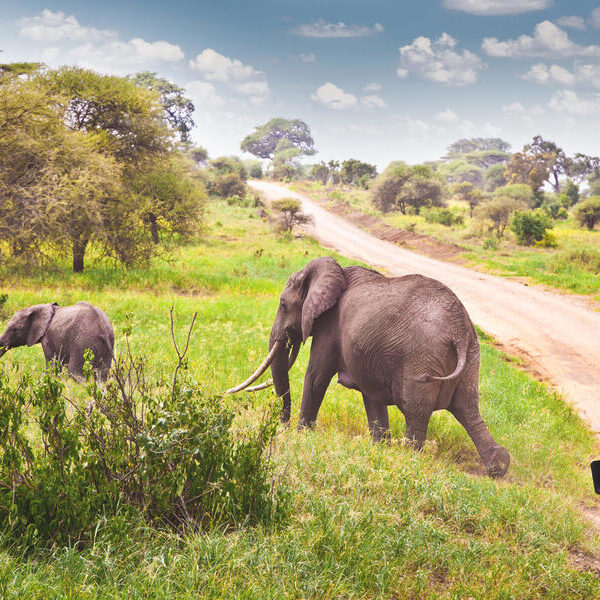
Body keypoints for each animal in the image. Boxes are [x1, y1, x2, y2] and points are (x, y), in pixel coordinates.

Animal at [230, 256, 510, 478]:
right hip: (472, 356)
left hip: (422, 358)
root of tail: (459, 329)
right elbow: (371, 397)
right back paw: (499, 465)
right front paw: (380, 448)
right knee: (468, 409)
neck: (335, 271)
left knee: (417, 411)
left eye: (282, 304)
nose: (282, 427)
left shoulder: (330, 326)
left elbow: (316, 378)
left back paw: (409, 459)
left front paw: (302, 437)